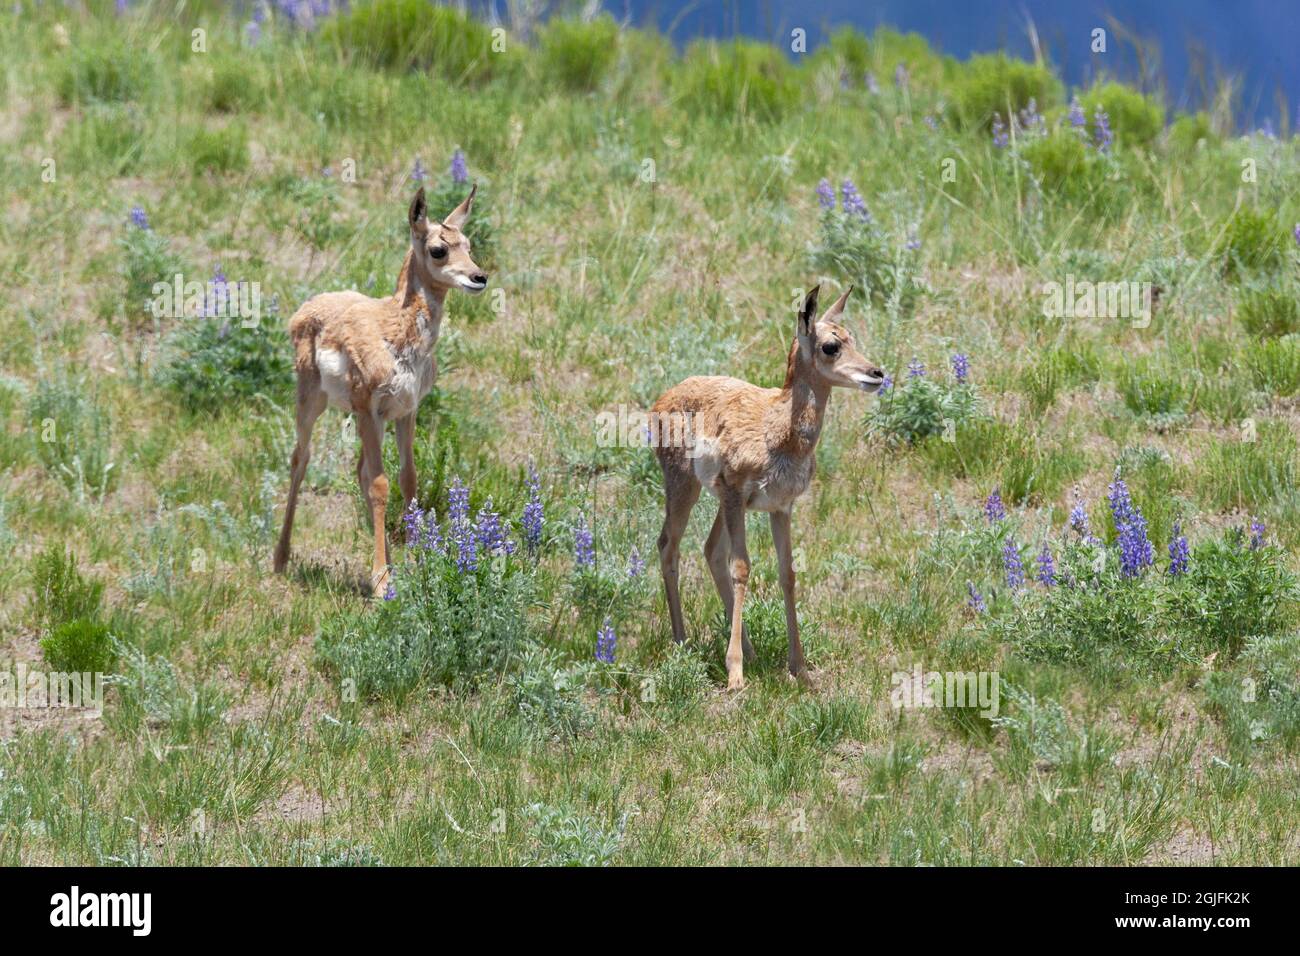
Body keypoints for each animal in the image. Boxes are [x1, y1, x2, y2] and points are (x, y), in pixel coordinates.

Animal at [273, 183, 488, 595]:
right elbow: (379, 485)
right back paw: (280, 559)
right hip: (313, 402)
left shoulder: (406, 411)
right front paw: (380, 580)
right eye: (438, 248)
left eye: (468, 244)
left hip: (368, 419)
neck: (395, 327)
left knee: (357, 471)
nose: (479, 277)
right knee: (300, 459)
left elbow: (407, 478)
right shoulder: (368, 410)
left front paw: (418, 561)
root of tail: (308, 307)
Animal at [650, 283, 883, 686]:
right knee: (670, 545)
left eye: (851, 337)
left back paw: (751, 649)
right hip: (688, 489)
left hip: (724, 505)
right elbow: (742, 568)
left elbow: (787, 573)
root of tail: (663, 400)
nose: (876, 373)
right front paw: (735, 674)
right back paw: (683, 642)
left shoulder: (780, 507)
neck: (777, 429)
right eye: (831, 345)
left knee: (710, 550)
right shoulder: (737, 495)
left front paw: (800, 668)